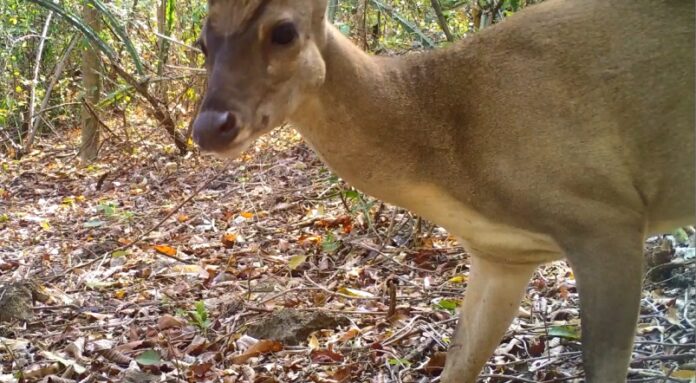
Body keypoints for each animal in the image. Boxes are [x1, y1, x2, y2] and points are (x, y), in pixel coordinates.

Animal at [192, 1, 696, 382]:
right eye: (203, 42)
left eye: (283, 31)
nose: (210, 126)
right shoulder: (503, 254)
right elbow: (459, 361)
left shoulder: (605, 216)